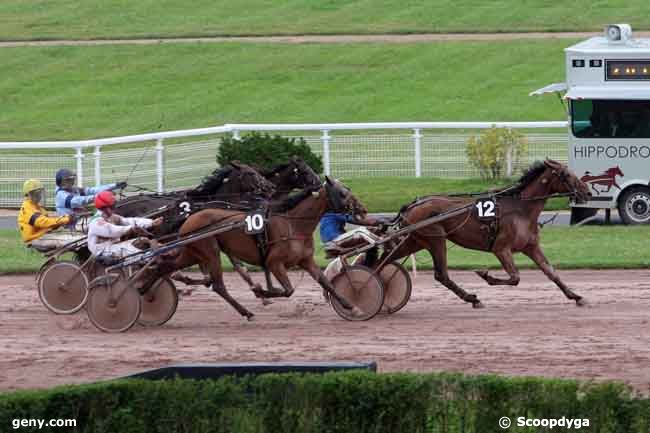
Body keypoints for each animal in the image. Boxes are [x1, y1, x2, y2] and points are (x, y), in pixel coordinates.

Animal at [135, 177, 370, 318]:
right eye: (342, 193)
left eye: (348, 189)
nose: (363, 209)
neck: (292, 223)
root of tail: (189, 218)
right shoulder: (275, 262)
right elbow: (288, 290)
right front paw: (261, 291)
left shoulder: (306, 261)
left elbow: (326, 283)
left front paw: (352, 306)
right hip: (210, 251)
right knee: (218, 285)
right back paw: (245, 311)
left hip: (192, 253)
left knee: (165, 266)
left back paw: (145, 290)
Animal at [382, 160, 588, 308]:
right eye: (567, 174)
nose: (587, 191)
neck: (521, 209)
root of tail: (411, 206)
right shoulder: (501, 248)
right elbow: (515, 277)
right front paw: (484, 274)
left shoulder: (530, 246)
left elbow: (551, 272)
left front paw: (576, 296)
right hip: (435, 239)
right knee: (442, 275)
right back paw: (472, 298)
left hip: (414, 241)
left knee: (384, 260)